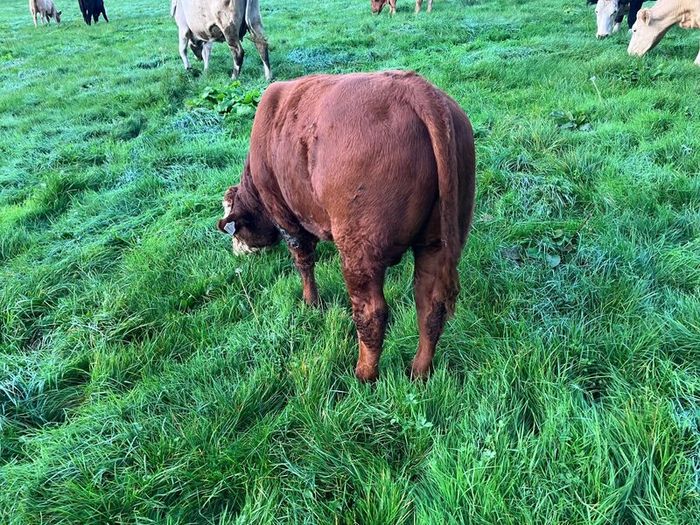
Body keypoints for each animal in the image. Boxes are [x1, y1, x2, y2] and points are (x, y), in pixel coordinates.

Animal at [217, 71, 476, 382]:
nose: (237, 252)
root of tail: (415, 88)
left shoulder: (285, 216)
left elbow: (303, 260)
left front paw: (311, 303)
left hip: (359, 247)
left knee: (371, 313)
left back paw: (364, 374)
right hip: (437, 241)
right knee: (430, 305)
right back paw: (418, 372)